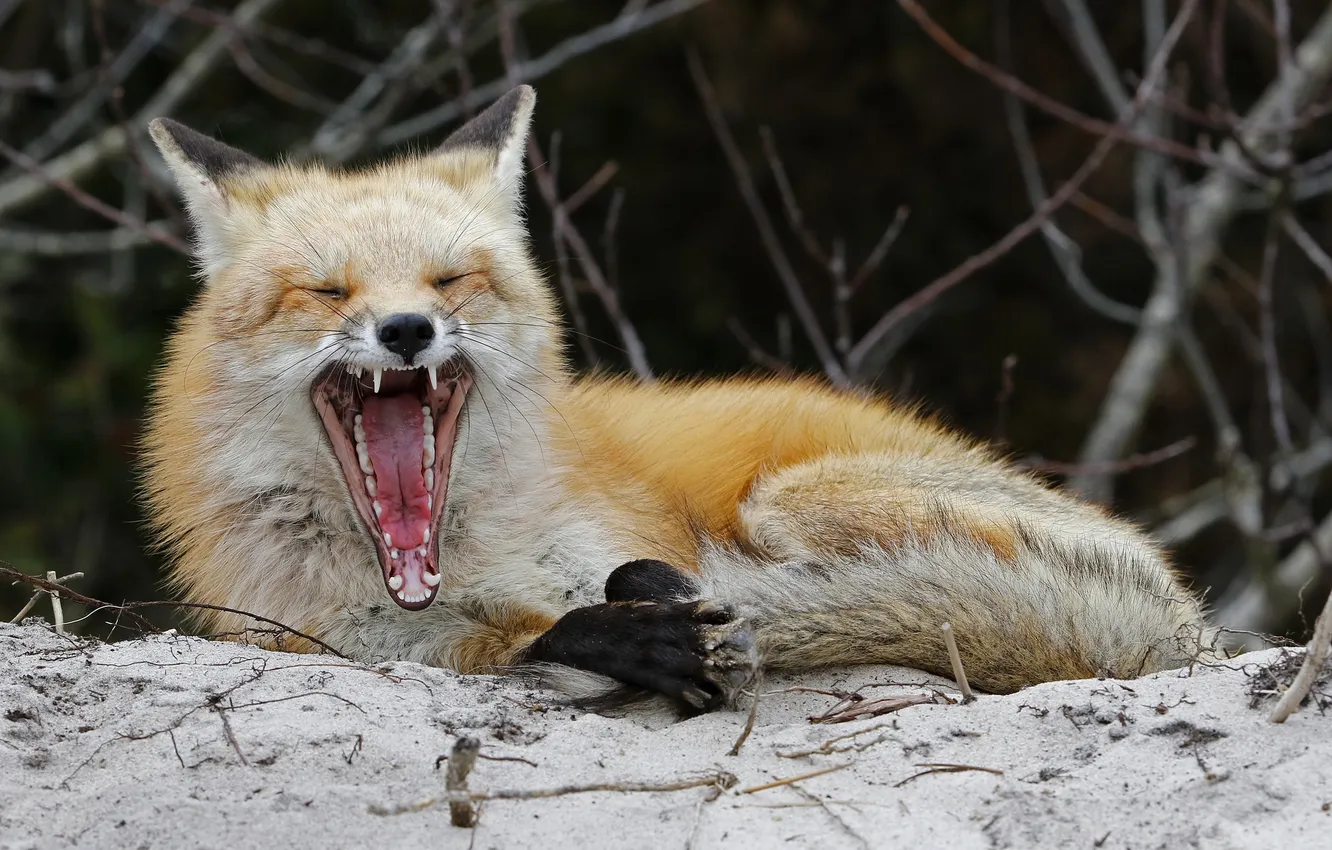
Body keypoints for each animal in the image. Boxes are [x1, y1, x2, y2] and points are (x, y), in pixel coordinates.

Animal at [141, 85, 1214, 714]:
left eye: (450, 281)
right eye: (327, 292)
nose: (407, 330)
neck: (460, 564)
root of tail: (1188, 621)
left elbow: (610, 592)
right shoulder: (344, 641)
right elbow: (530, 638)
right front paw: (617, 636)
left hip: (793, 499)